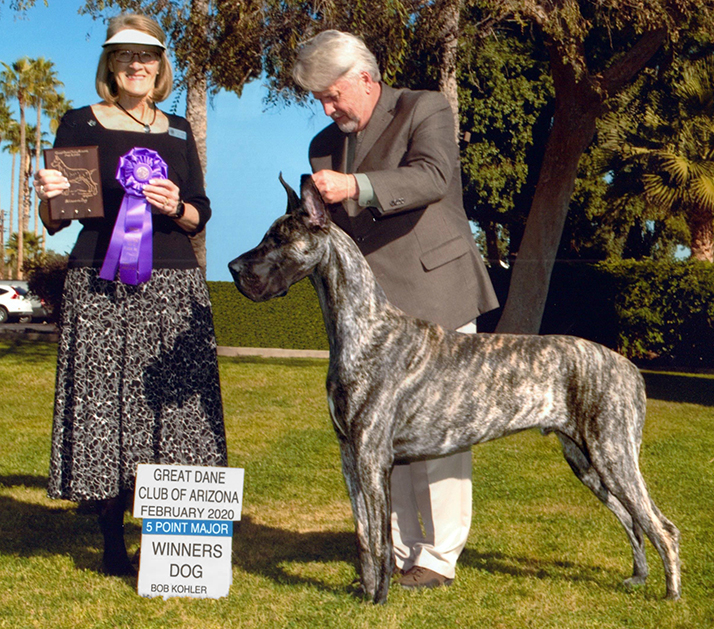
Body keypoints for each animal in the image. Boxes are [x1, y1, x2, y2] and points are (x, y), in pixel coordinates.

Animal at [228, 175, 681, 604]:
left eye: (278, 238)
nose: (232, 267)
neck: (364, 327)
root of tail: (629, 366)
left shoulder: (371, 458)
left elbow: (379, 541)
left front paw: (378, 601)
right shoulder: (348, 457)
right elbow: (363, 539)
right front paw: (364, 594)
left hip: (613, 454)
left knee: (662, 527)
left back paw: (671, 595)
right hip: (586, 460)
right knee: (633, 521)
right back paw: (638, 578)